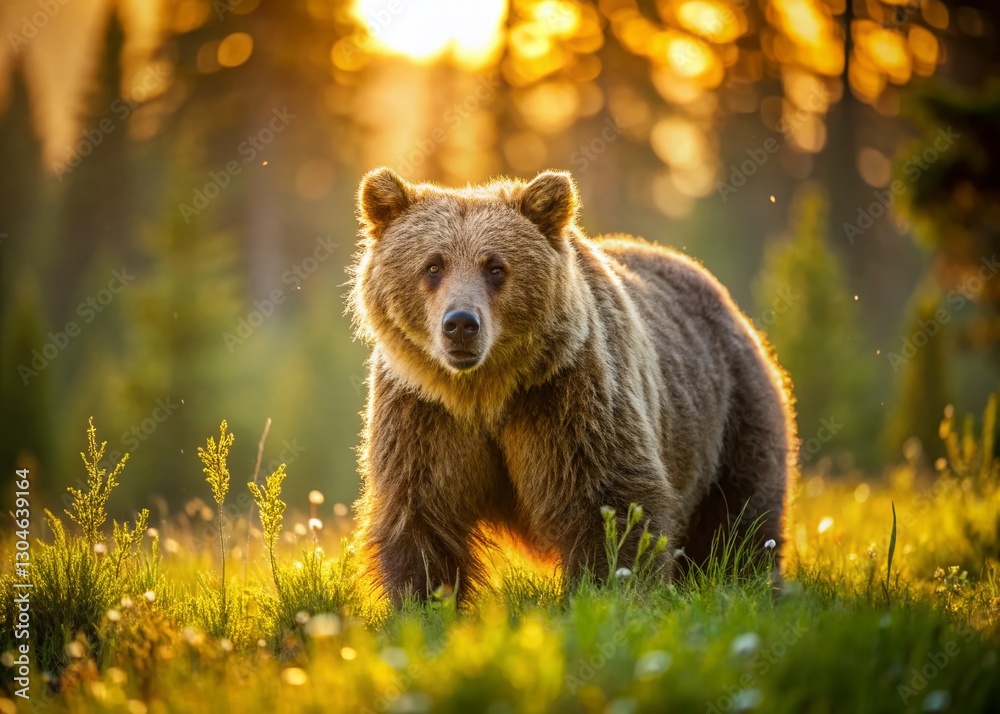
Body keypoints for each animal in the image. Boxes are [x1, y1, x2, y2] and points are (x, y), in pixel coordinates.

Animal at [347, 167, 796, 605]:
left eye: (495, 267)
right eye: (433, 266)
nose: (460, 323)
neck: (484, 391)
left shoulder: (569, 393)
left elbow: (608, 500)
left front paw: (607, 592)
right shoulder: (424, 412)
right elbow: (422, 512)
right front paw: (426, 602)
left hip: (732, 412)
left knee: (740, 518)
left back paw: (751, 582)